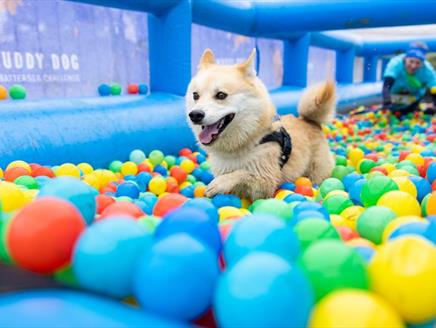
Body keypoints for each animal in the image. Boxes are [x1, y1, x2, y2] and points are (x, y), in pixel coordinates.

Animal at [186, 48, 336, 200]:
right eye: (195, 95)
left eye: (221, 95)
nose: (195, 115)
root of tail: (309, 121)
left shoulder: (266, 181)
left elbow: (242, 172)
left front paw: (220, 183)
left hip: (317, 171)